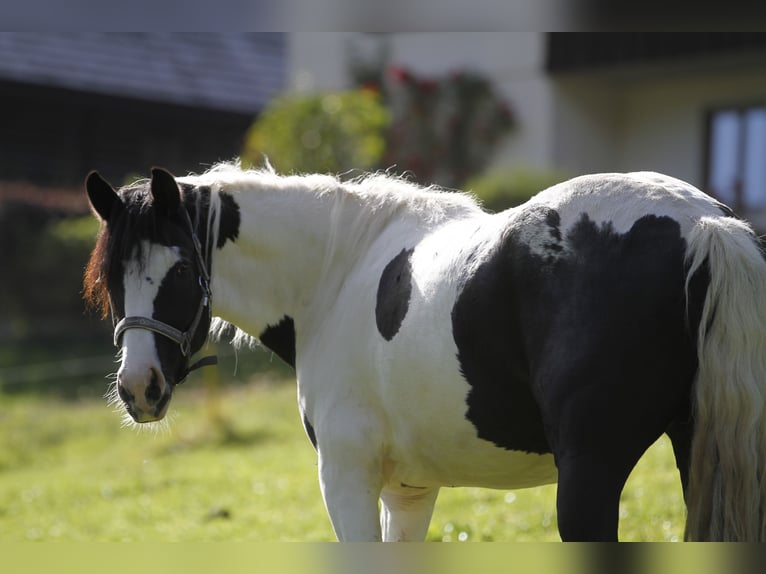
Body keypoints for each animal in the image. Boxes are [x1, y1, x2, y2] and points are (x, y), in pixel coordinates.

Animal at [82, 164, 766, 544]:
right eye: (112, 278)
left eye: (180, 270)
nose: (139, 388)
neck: (335, 272)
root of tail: (702, 224)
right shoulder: (409, 490)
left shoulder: (347, 476)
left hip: (589, 477)